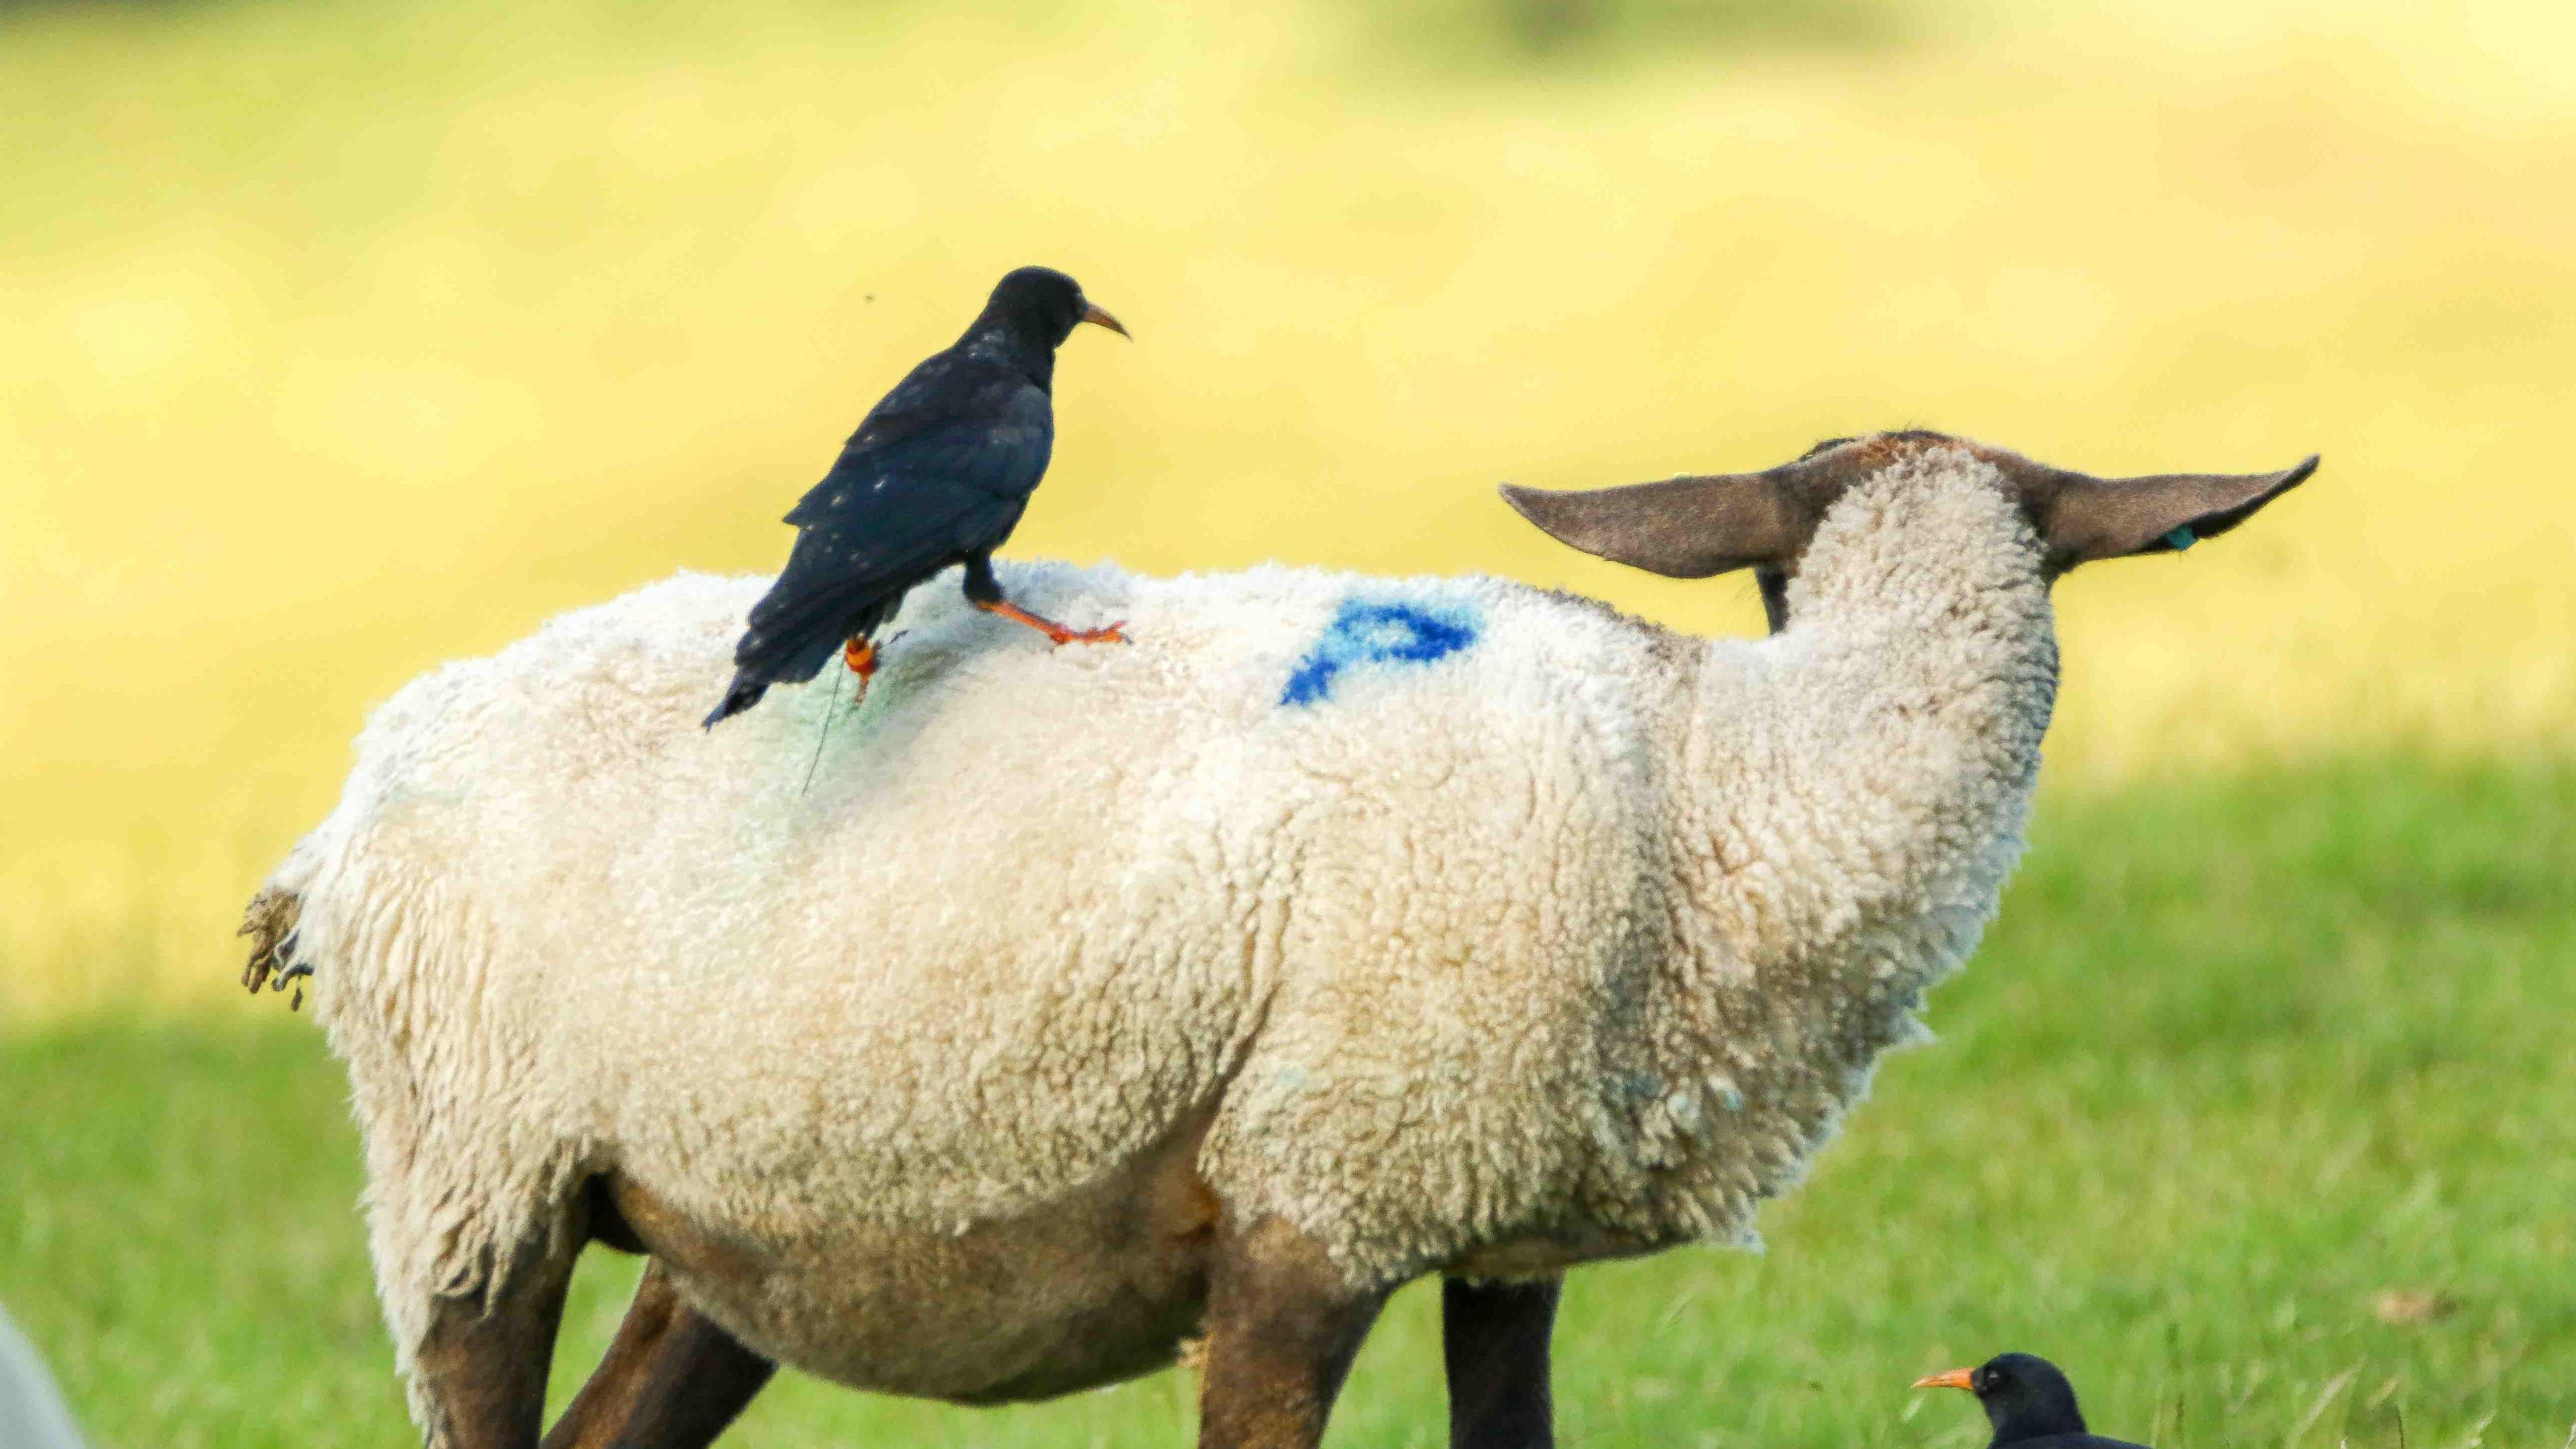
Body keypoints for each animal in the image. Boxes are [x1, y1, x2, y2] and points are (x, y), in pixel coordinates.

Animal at [241, 428, 2318, 1444]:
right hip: (472, 1176)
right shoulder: (1309, 1200)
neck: (1727, 782)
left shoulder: (1495, 1222)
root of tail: (352, 792)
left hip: (728, 1216)